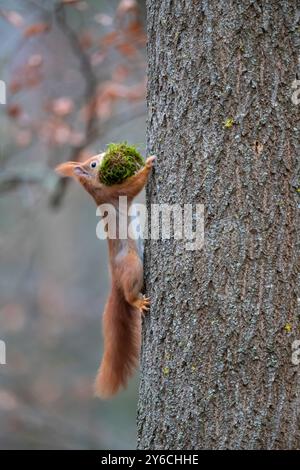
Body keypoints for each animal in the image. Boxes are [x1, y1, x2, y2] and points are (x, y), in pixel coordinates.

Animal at [54, 153, 156, 396]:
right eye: (93, 164)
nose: (102, 155)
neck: (96, 188)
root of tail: (115, 280)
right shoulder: (114, 193)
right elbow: (133, 185)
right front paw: (148, 164)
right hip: (132, 266)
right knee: (129, 294)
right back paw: (138, 302)